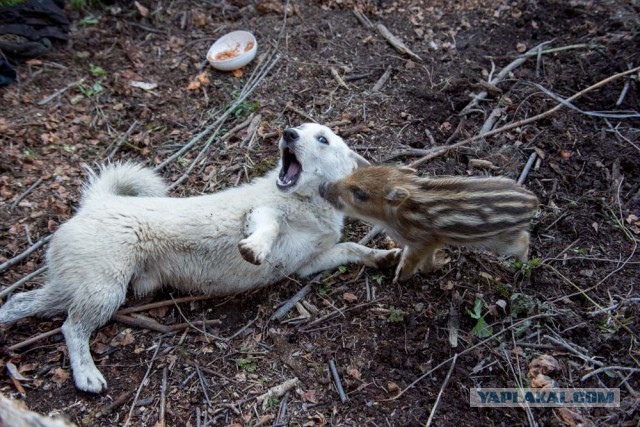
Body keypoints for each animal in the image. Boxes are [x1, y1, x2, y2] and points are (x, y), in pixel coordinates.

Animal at [0, 123, 400, 394]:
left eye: (322, 139)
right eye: (300, 129)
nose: (287, 133)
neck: (307, 203)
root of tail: (96, 201)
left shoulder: (309, 264)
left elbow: (353, 249)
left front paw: (385, 257)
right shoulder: (260, 214)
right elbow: (268, 227)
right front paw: (255, 249)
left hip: (74, 287)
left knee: (19, 302)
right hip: (103, 290)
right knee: (72, 328)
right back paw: (86, 375)